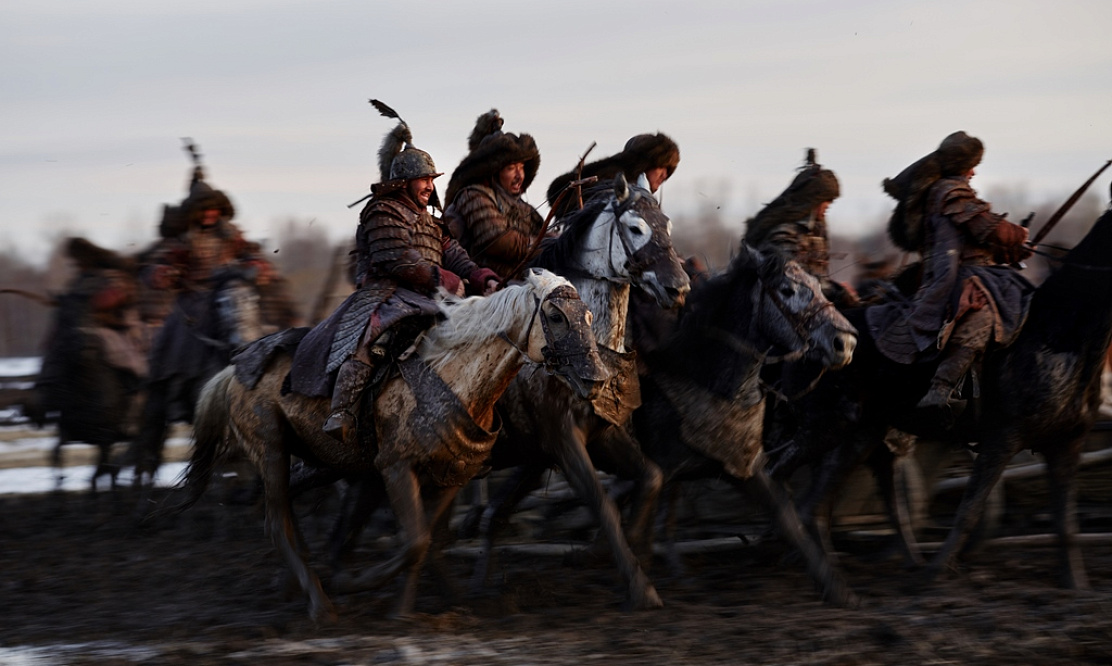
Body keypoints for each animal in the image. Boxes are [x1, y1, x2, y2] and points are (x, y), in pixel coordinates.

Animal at [175, 270, 609, 618]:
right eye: (555, 316)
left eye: (589, 317)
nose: (597, 377)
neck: (454, 376)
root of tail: (232, 371)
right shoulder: (395, 469)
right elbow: (415, 542)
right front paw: (362, 586)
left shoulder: (450, 478)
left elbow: (426, 541)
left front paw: (415, 606)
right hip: (271, 450)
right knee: (278, 522)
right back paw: (320, 603)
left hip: (321, 460)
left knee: (288, 509)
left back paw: (297, 584)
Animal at [464, 174, 689, 613]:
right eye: (635, 228)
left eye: (667, 225)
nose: (678, 288)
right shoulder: (563, 440)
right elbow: (601, 503)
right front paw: (640, 587)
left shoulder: (593, 437)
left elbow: (651, 477)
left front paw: (616, 550)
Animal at [627, 243, 858, 604]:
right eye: (787, 290)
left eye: (820, 288)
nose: (844, 344)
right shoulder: (661, 467)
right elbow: (643, 518)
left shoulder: (745, 468)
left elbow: (789, 520)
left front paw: (838, 589)